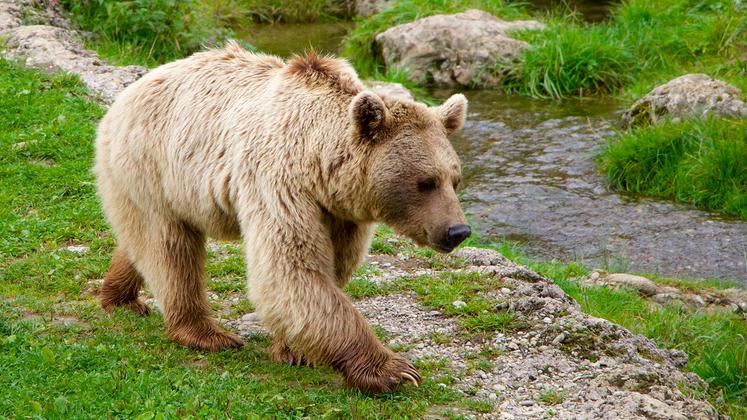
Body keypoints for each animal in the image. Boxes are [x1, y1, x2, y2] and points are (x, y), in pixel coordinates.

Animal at [92, 41, 468, 392]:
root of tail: (128, 93)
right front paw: (394, 371)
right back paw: (205, 333)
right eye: (425, 182)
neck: (320, 163)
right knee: (170, 250)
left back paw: (121, 297)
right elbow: (290, 268)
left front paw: (294, 350)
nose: (458, 230)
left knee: (142, 242)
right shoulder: (279, 183)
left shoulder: (339, 212)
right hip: (154, 166)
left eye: (455, 179)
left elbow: (330, 269)